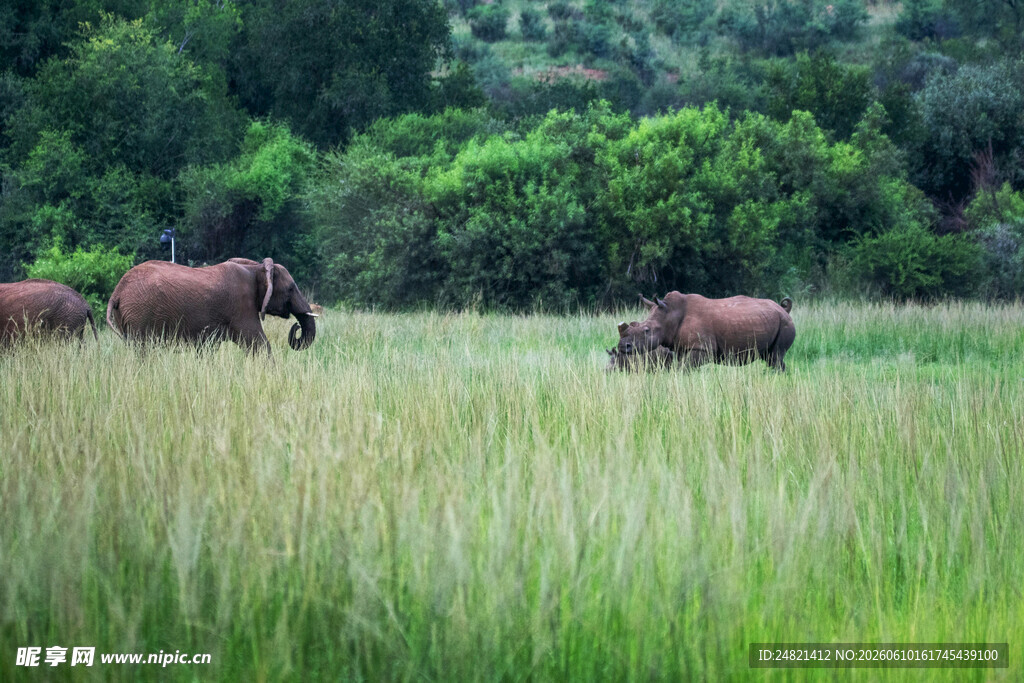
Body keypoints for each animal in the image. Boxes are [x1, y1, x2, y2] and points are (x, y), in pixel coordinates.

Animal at [106, 257, 316, 354]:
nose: (296, 327)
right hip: (139, 313)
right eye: (291, 288)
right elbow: (260, 344)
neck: (256, 268)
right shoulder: (241, 307)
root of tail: (117, 292)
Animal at [616, 292, 795, 371]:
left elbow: (685, 367)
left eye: (646, 330)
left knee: (776, 356)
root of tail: (783, 309)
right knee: (771, 357)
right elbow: (680, 366)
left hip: (785, 323)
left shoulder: (702, 348)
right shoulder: (682, 347)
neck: (670, 314)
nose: (623, 346)